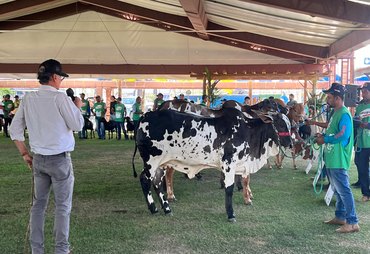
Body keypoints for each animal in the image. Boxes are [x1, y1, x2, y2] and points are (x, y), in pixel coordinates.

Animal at [133, 106, 292, 221]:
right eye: (281, 125)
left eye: (289, 125)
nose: (290, 143)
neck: (248, 131)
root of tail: (145, 116)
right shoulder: (228, 163)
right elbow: (229, 189)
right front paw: (231, 214)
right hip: (151, 161)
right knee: (145, 179)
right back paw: (154, 209)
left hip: (161, 163)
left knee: (157, 183)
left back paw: (166, 209)